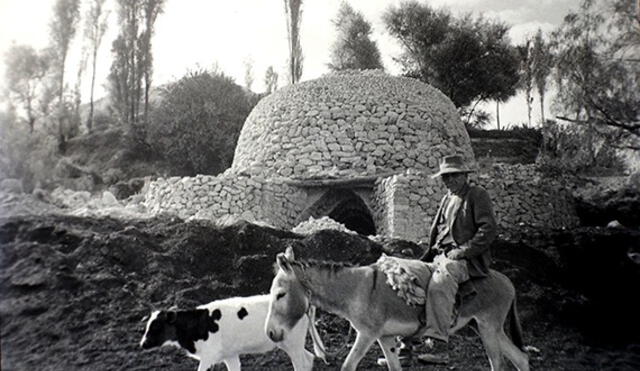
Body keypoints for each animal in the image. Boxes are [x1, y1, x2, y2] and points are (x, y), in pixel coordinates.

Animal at [139, 296, 324, 371]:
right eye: (148, 325)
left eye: (156, 326)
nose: (142, 344)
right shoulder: (230, 355)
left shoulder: (209, 355)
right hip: (290, 343)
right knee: (308, 358)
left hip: (292, 342)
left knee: (301, 363)